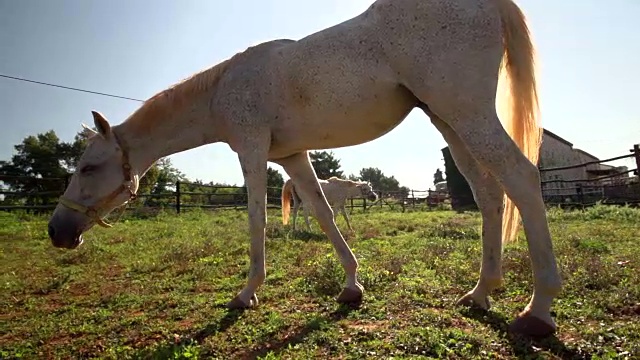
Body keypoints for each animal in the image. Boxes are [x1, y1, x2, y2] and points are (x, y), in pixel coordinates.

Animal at [47, 0, 564, 336]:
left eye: (89, 167)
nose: (58, 231)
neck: (223, 89)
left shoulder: (251, 150)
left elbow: (256, 219)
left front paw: (247, 293)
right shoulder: (292, 156)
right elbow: (322, 212)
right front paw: (352, 285)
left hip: (465, 112)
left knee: (520, 176)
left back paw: (538, 310)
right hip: (448, 120)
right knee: (489, 192)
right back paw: (481, 292)